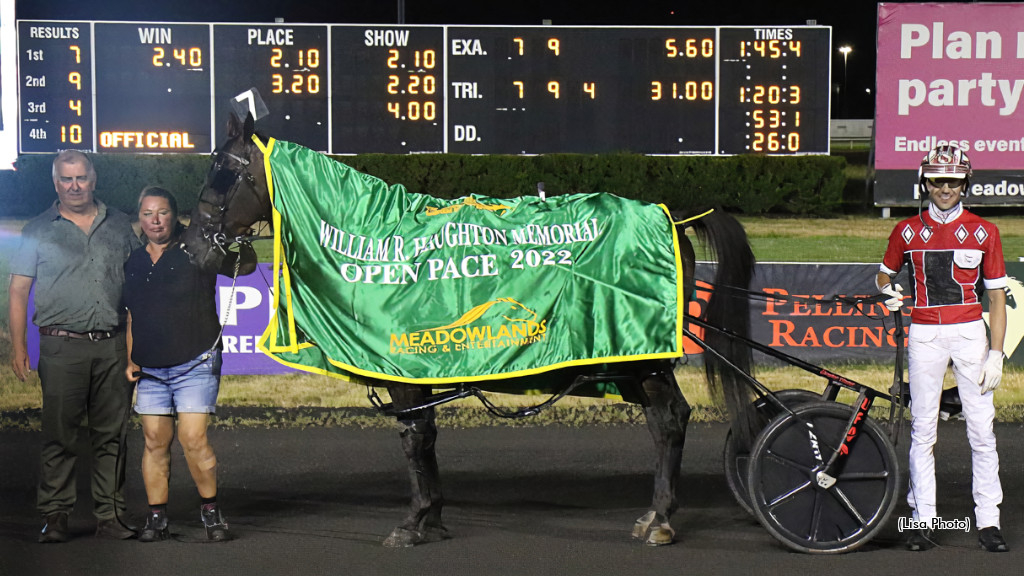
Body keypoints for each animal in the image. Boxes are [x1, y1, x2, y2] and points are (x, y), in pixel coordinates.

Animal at [182, 113, 761, 545]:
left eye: (223, 170)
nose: (194, 247)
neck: (370, 233)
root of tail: (675, 218)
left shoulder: (399, 362)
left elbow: (415, 436)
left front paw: (414, 521)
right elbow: (424, 437)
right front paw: (434, 516)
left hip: (643, 354)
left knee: (671, 420)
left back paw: (661, 518)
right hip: (629, 359)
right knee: (664, 422)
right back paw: (653, 515)